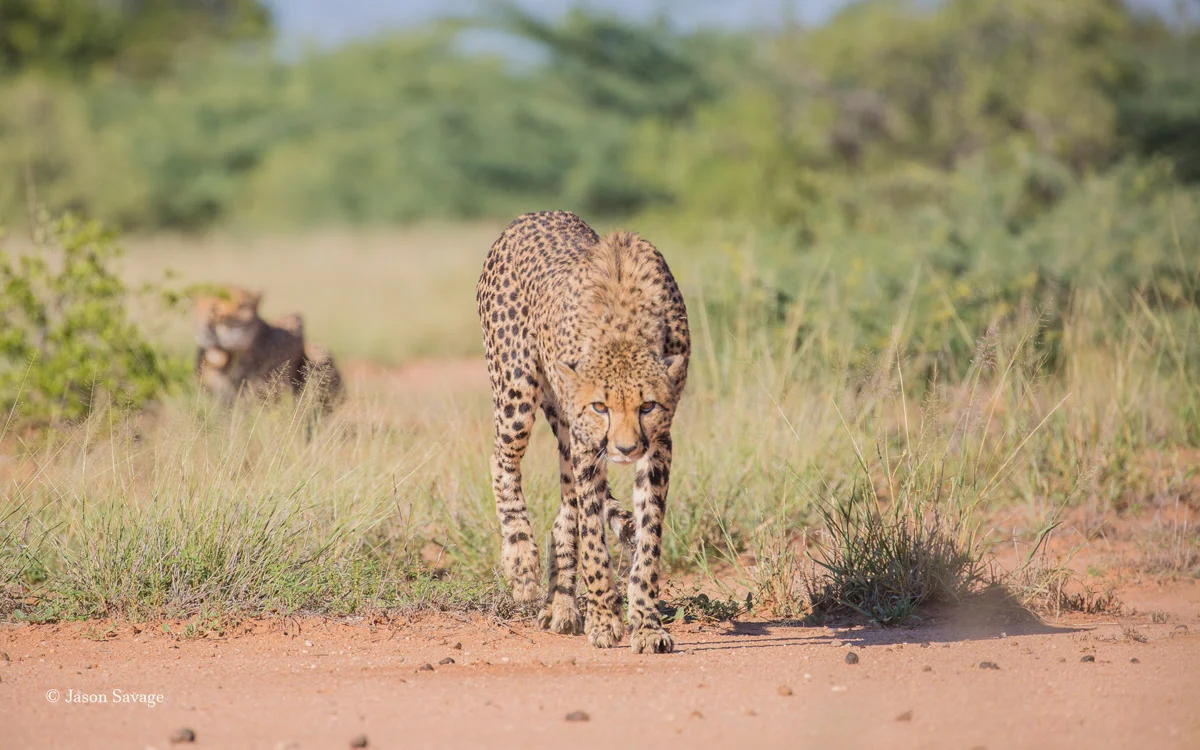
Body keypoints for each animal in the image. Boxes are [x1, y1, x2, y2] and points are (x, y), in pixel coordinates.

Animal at [476, 211, 689, 653]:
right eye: (600, 406)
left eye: (647, 406)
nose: (625, 448)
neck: (624, 324)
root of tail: (532, 214)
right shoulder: (588, 444)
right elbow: (593, 539)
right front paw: (605, 618)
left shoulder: (658, 445)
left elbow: (648, 539)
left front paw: (646, 623)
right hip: (518, 392)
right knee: (502, 459)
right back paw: (521, 561)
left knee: (565, 507)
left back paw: (561, 604)